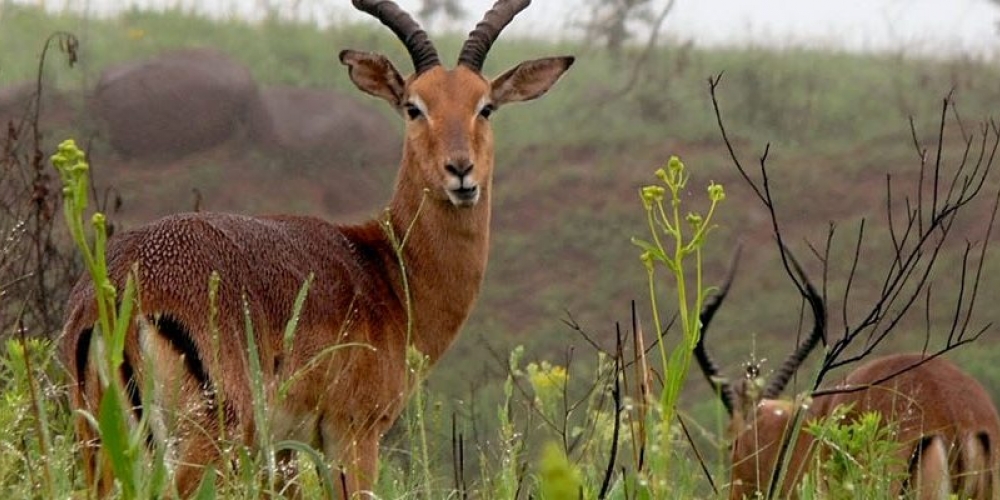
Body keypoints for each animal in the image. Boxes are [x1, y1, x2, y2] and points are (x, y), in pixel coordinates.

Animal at [62, 0, 576, 496]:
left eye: (485, 106)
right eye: (414, 106)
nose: (461, 171)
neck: (389, 274)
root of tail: (119, 291)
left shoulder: (285, 449)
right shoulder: (352, 434)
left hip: (101, 443)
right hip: (206, 441)